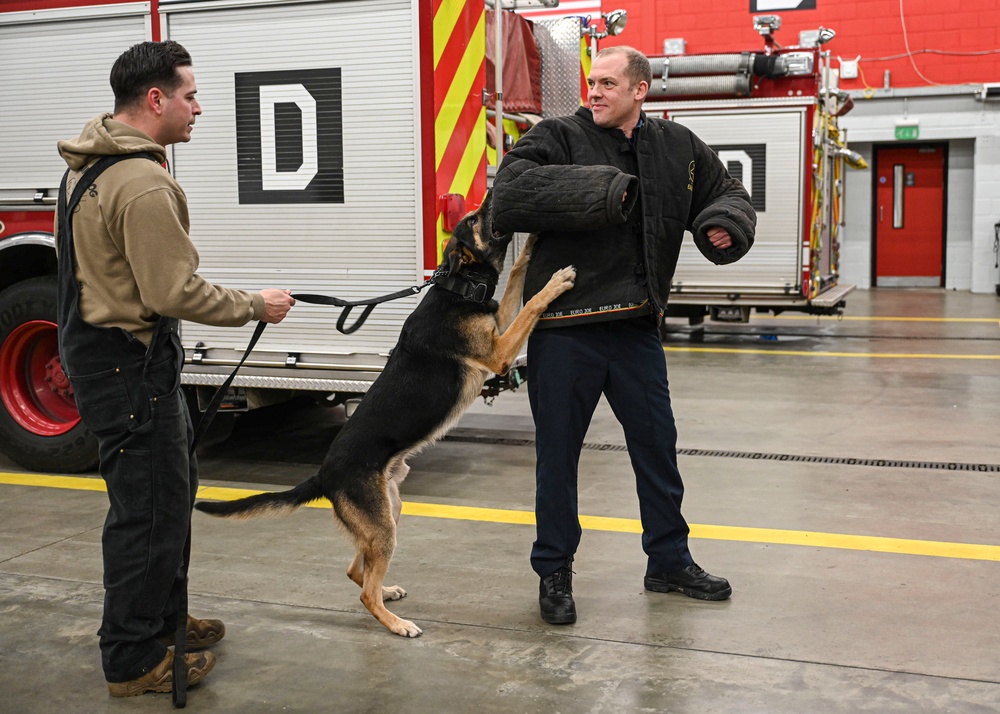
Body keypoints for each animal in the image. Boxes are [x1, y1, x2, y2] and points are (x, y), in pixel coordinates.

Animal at [195, 193, 576, 636]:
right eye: (474, 219)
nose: (491, 196)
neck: (456, 286)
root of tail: (323, 475)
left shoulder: (498, 326)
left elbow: (515, 277)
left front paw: (531, 245)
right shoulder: (498, 353)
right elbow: (530, 304)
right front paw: (555, 283)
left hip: (387, 514)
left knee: (356, 571)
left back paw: (388, 591)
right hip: (383, 525)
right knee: (364, 591)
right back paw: (397, 624)